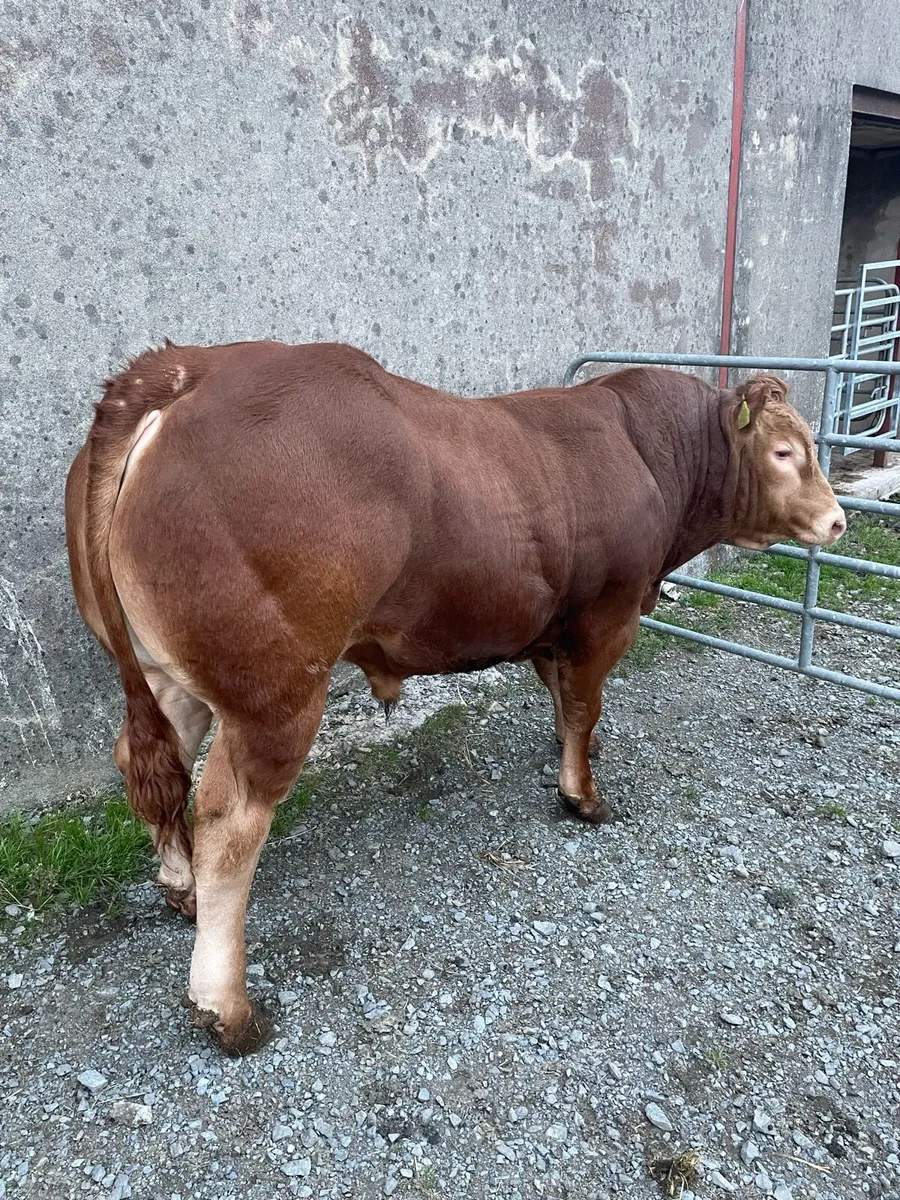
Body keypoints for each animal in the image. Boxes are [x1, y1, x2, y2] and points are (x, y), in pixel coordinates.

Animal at [65, 340, 845, 1055]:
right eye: (784, 452)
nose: (838, 520)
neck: (645, 451)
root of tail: (183, 370)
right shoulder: (607, 613)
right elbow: (585, 702)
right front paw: (583, 795)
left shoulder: (551, 621)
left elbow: (563, 696)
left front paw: (567, 750)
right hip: (275, 692)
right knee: (230, 822)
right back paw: (226, 1007)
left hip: (169, 674)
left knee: (149, 763)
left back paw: (181, 889)